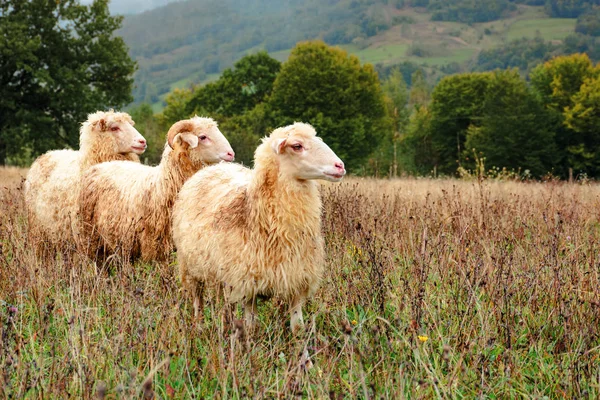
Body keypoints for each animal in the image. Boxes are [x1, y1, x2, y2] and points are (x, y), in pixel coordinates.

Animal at [81, 116, 236, 262]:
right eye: (203, 137)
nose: (231, 154)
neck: (162, 186)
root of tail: (102, 164)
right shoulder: (155, 247)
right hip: (90, 239)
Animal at [171, 122, 344, 332]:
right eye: (297, 146)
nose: (340, 166)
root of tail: (215, 167)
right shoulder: (247, 285)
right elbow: (251, 327)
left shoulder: (296, 280)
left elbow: (298, 327)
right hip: (190, 266)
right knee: (198, 299)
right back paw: (199, 326)